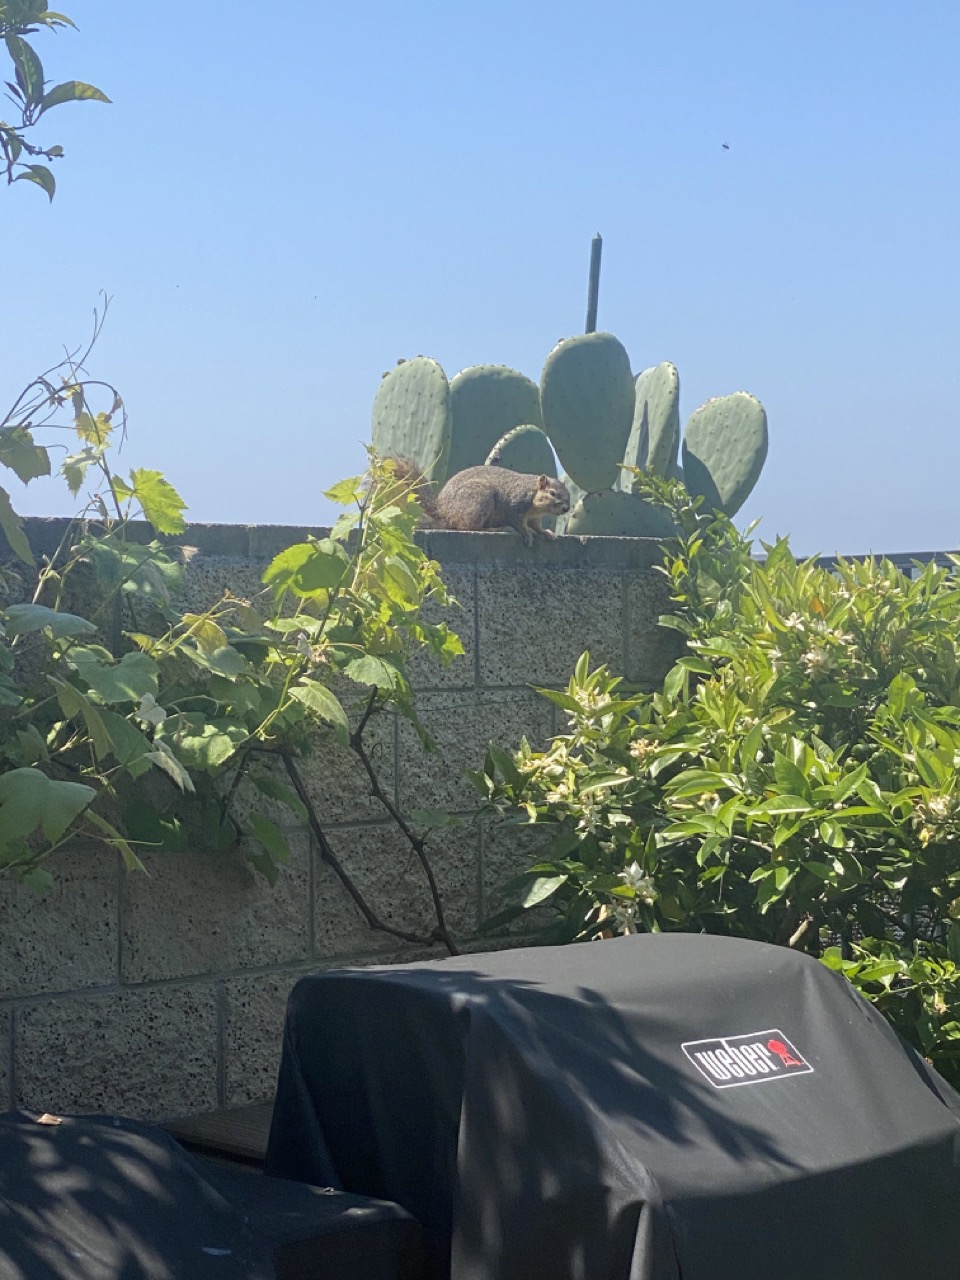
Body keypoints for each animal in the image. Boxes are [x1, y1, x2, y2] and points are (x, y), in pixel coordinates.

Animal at [391, 458, 570, 546]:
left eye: (569, 495)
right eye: (552, 493)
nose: (566, 509)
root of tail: (444, 514)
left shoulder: (534, 516)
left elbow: (536, 526)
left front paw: (545, 532)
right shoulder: (516, 505)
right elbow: (518, 522)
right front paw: (526, 533)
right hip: (480, 498)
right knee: (468, 527)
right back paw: (496, 529)